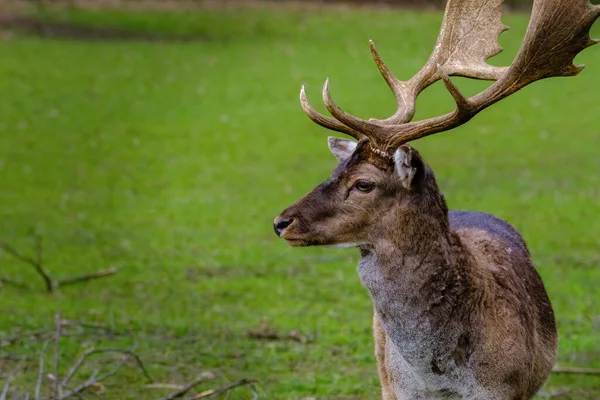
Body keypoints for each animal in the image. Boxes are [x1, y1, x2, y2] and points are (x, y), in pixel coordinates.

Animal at [274, 0, 600, 398]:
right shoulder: (399, 388)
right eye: (335, 170)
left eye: (363, 184)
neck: (440, 378)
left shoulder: (508, 388)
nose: (281, 222)